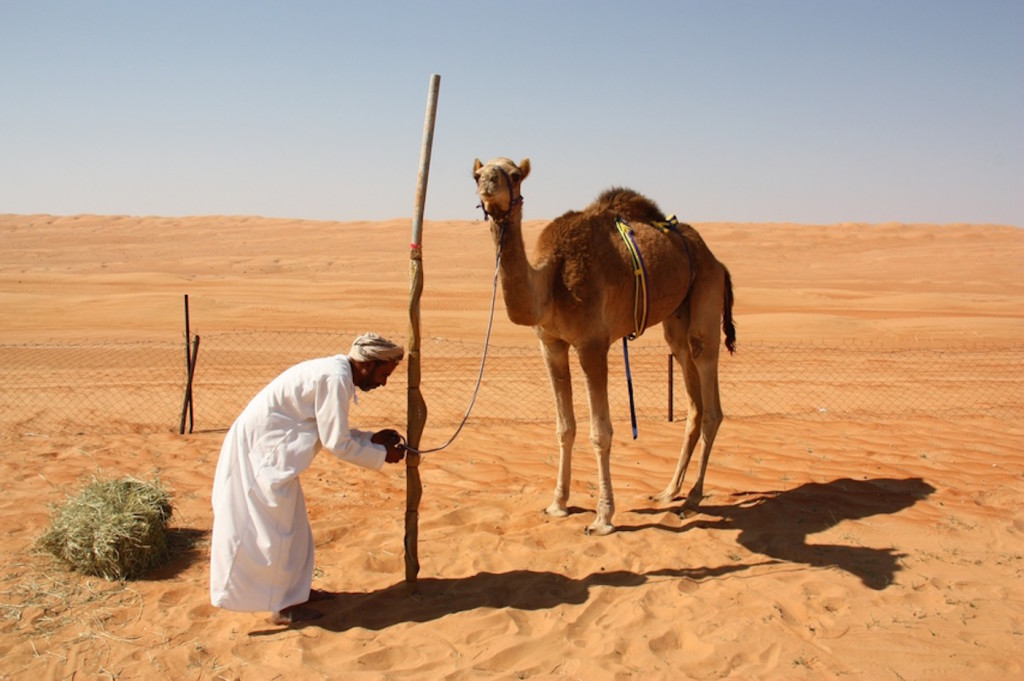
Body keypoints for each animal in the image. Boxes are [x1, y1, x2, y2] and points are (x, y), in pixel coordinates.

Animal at [471, 156, 737, 532]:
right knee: (692, 395)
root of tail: (717, 260)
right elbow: (565, 427)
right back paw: (669, 491)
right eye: (476, 175)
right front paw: (557, 504)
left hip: (706, 293)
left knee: (710, 395)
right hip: (676, 320)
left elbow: (601, 433)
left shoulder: (592, 345)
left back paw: (694, 497)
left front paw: (603, 517)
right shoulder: (551, 344)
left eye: (514, 174)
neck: (551, 281)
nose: (488, 187)